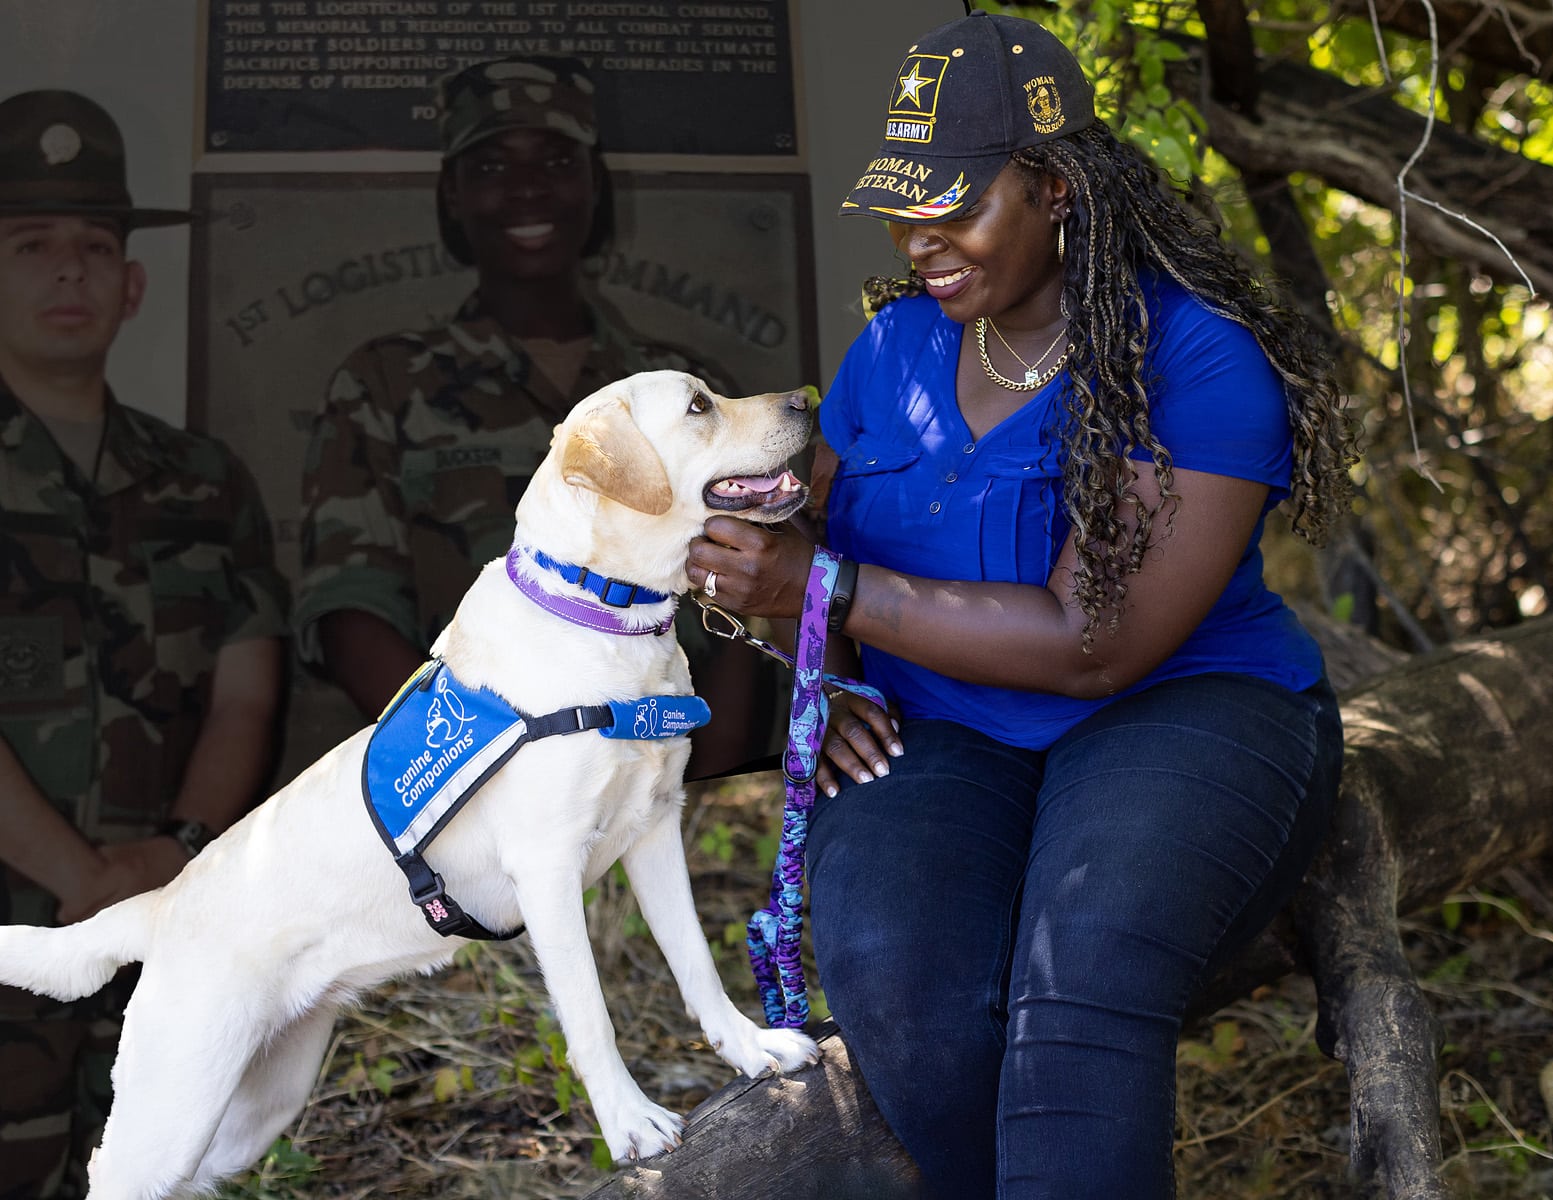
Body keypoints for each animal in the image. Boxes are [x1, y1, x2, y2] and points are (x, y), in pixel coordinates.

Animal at [0, 372, 826, 1198]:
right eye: (698, 406)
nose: (807, 400)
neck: (596, 612)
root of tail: (159, 904)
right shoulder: (548, 870)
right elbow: (590, 1016)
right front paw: (629, 1124)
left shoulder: (654, 830)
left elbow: (696, 966)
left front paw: (752, 1049)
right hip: (176, 1106)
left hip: (258, 1105)